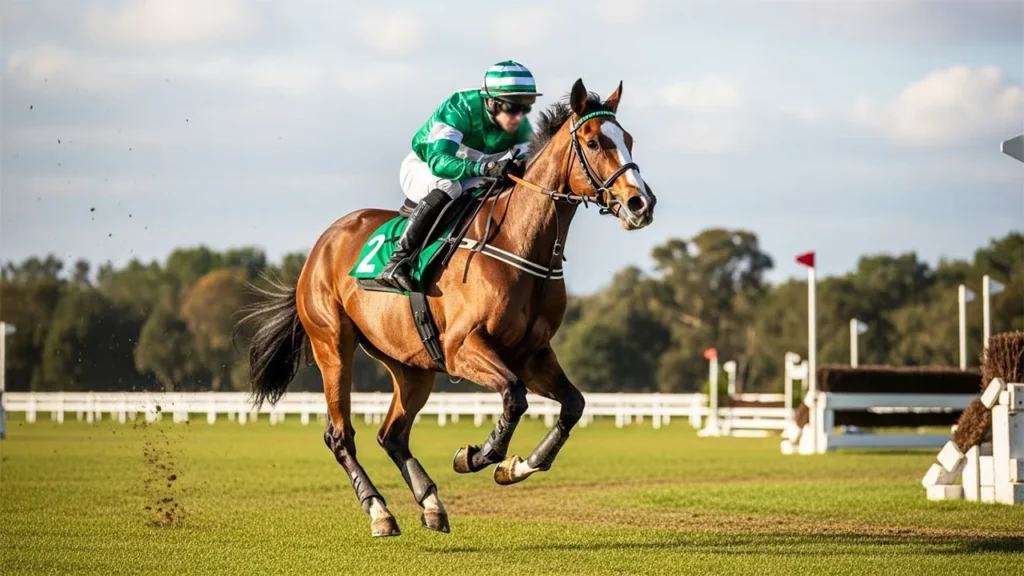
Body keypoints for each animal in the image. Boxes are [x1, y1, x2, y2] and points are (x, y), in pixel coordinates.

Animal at [235, 77, 657, 538]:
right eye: (594, 141)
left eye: (629, 140)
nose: (641, 204)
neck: (517, 242)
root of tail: (321, 247)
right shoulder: (462, 348)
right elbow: (514, 398)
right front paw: (476, 456)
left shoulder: (531, 353)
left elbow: (573, 405)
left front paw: (516, 466)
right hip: (332, 344)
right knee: (341, 435)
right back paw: (380, 512)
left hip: (411, 364)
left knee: (392, 435)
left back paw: (431, 503)